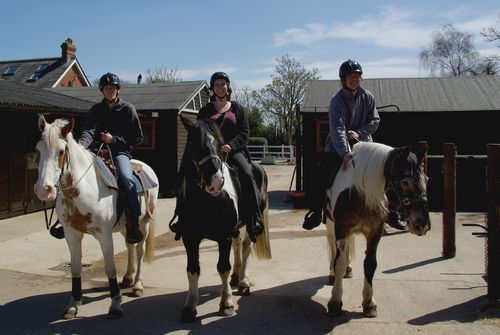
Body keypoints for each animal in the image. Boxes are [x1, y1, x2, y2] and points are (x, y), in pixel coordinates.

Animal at [34, 116, 158, 320]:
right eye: (38, 149)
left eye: (61, 151)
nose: (44, 190)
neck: (83, 189)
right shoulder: (71, 234)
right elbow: (75, 267)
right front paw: (73, 305)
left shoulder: (104, 235)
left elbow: (110, 268)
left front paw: (115, 305)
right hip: (126, 227)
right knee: (130, 246)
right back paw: (128, 278)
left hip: (144, 223)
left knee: (139, 251)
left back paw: (138, 285)